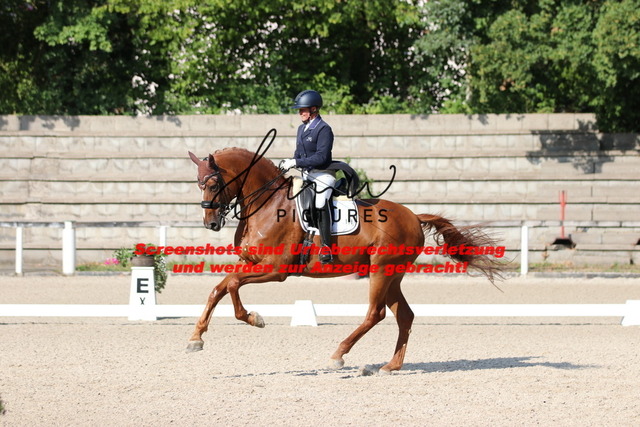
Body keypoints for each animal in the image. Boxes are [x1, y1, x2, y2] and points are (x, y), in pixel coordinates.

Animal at [186, 142, 503, 374]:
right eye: (199, 184)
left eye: (212, 185)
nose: (210, 223)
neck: (266, 204)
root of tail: (413, 216)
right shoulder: (251, 263)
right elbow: (220, 287)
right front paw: (196, 338)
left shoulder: (275, 270)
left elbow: (233, 284)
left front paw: (254, 319)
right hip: (393, 275)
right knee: (404, 315)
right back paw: (391, 366)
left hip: (381, 270)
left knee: (376, 313)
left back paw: (338, 355)